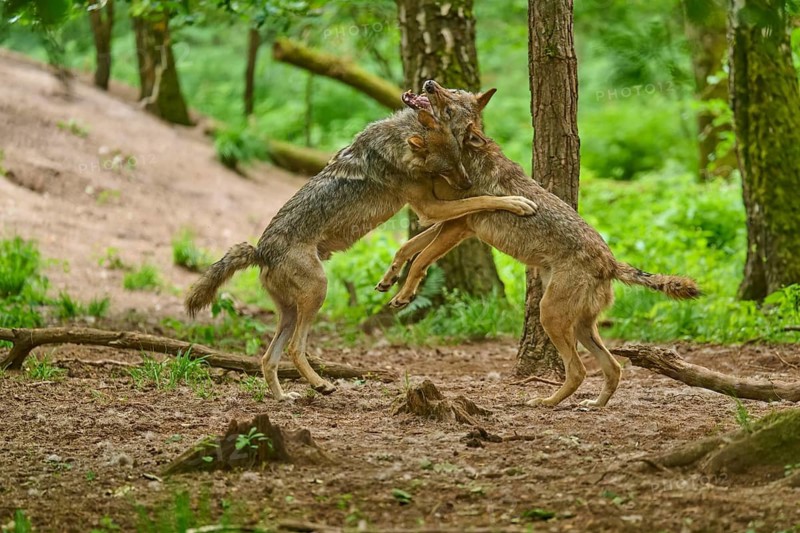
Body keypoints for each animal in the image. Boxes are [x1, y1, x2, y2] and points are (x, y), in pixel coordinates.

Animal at [184, 95, 537, 401]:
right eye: (447, 167)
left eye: (459, 160)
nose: (466, 182)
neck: (399, 144)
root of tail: (260, 251)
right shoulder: (429, 208)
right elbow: (482, 200)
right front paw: (517, 203)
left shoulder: (430, 210)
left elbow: (410, 247)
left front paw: (391, 279)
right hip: (318, 292)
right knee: (296, 349)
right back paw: (322, 385)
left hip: (289, 312)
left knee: (268, 358)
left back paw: (284, 398)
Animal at [377, 80, 700, 408]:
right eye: (451, 90)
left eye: (450, 108)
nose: (430, 84)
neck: (463, 156)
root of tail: (610, 263)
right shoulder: (450, 223)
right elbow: (406, 248)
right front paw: (388, 279)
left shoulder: (456, 225)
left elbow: (420, 259)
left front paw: (403, 296)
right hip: (581, 327)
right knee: (614, 367)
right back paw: (593, 405)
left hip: (550, 316)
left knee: (579, 370)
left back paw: (545, 402)